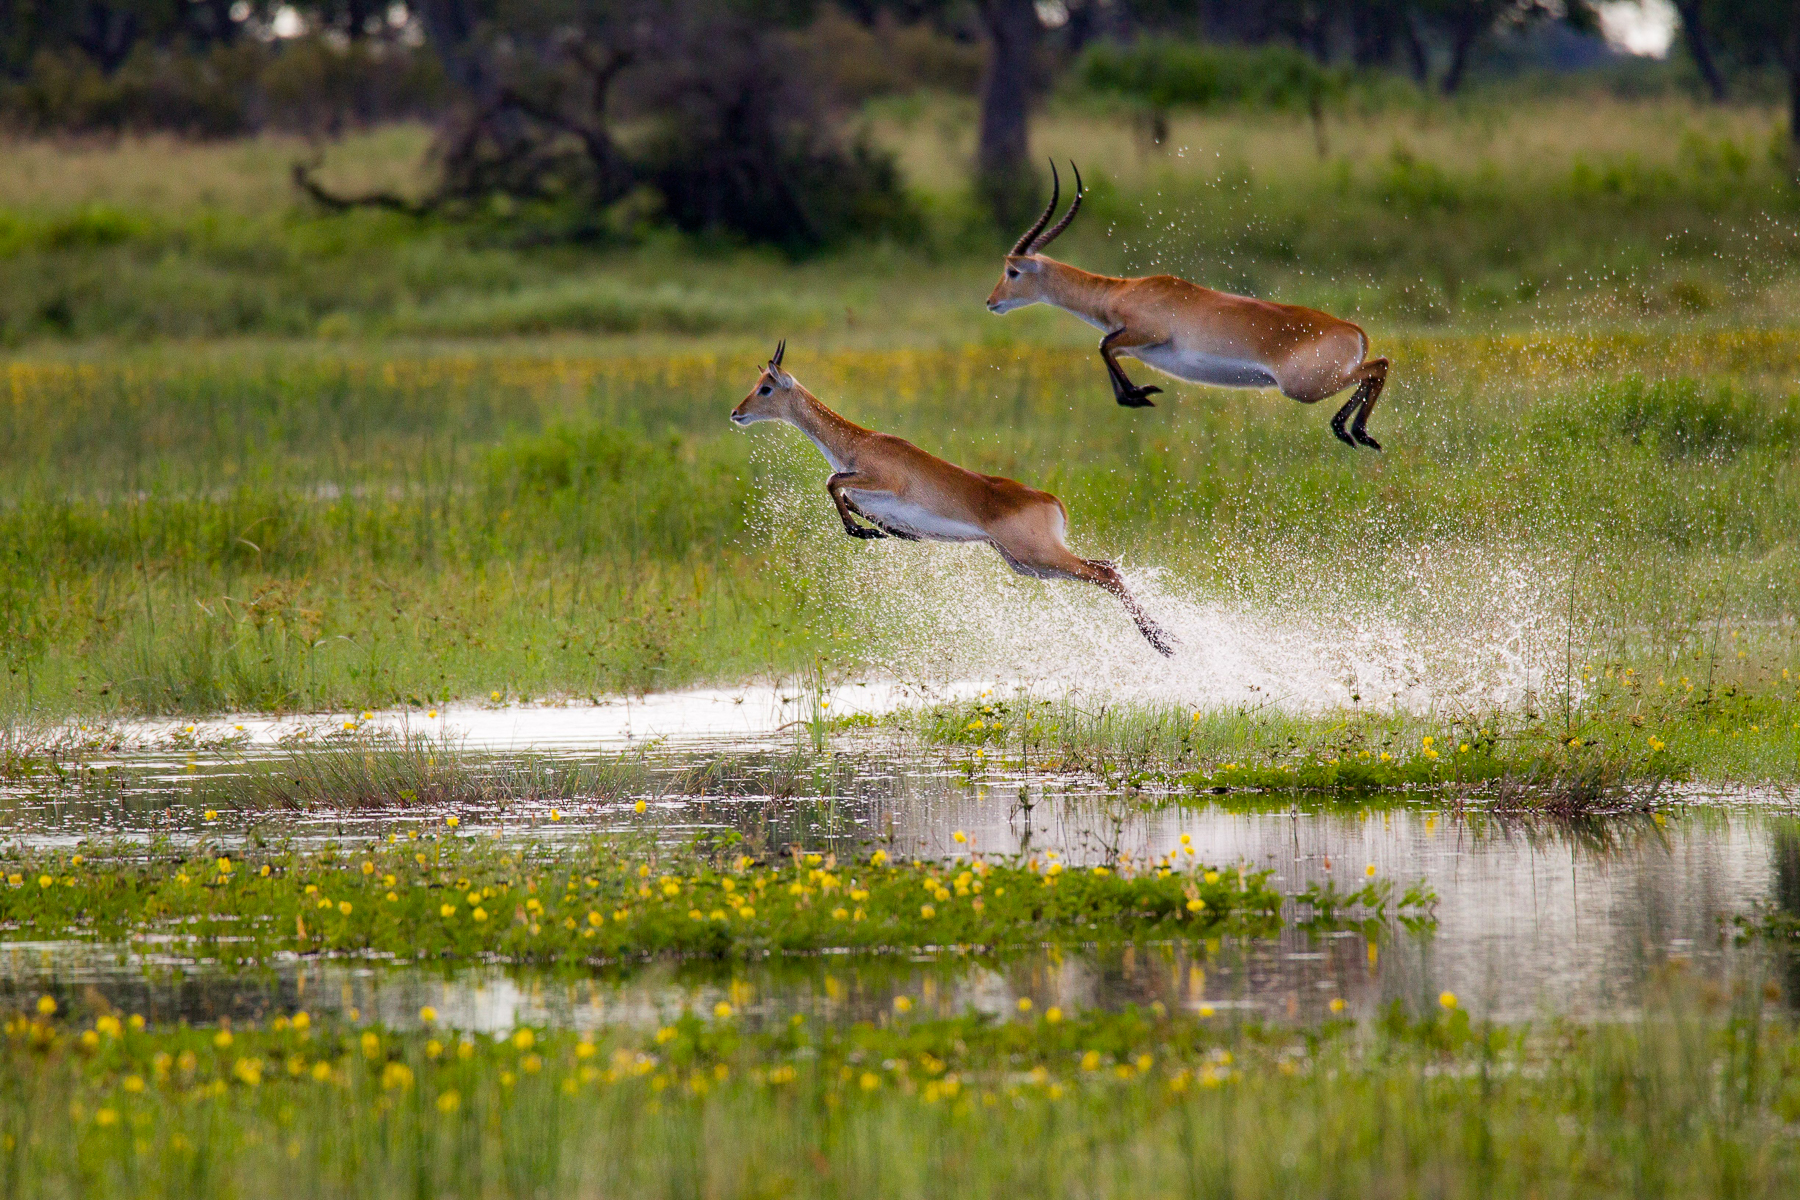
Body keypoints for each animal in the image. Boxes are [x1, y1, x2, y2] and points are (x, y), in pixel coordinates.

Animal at [731, 342, 1173, 656]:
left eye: (765, 388)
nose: (736, 413)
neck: (857, 443)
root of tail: (1052, 501)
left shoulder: (877, 480)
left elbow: (831, 482)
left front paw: (864, 532)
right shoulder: (865, 493)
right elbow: (847, 496)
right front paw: (886, 532)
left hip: (1038, 556)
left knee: (1107, 573)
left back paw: (1162, 642)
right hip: (1028, 565)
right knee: (1106, 566)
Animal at [986, 162, 1391, 450]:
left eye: (1012, 270)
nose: (991, 302)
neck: (1119, 292)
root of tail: (1352, 329)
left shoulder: (1146, 332)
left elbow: (1102, 345)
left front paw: (1142, 394)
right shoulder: (1135, 345)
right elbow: (1108, 350)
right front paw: (1137, 396)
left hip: (1304, 386)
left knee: (1378, 367)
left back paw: (1353, 431)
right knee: (1378, 367)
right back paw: (1354, 433)